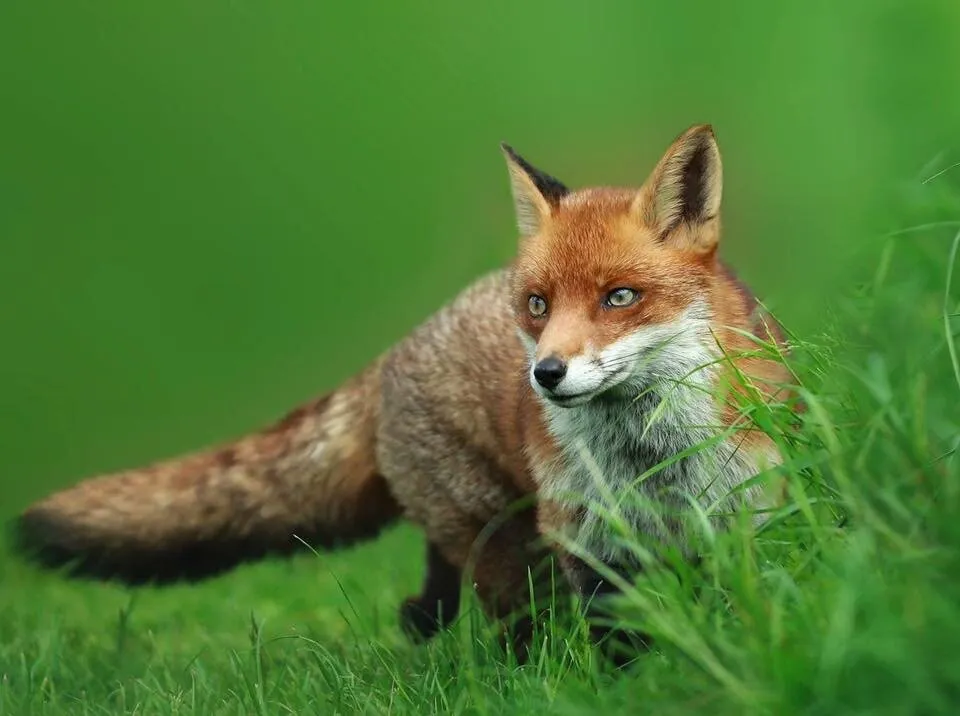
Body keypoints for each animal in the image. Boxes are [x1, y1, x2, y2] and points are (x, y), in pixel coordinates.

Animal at [15, 124, 794, 662]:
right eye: (538, 304)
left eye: (620, 297)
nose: (545, 374)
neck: (653, 463)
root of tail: (396, 349)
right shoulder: (590, 543)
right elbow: (624, 647)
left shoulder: (748, 513)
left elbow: (738, 604)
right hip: (503, 542)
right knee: (514, 623)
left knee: (437, 593)